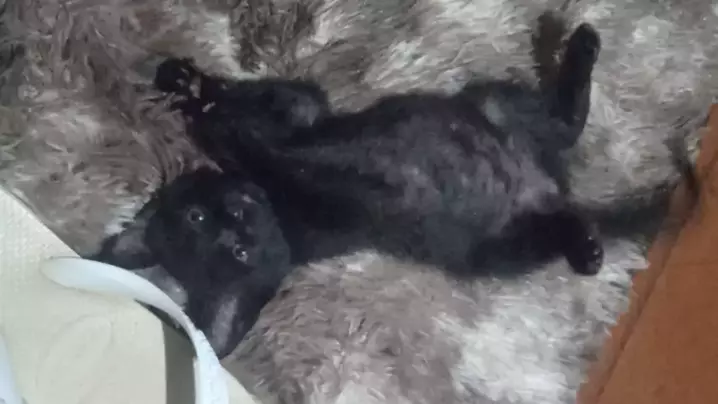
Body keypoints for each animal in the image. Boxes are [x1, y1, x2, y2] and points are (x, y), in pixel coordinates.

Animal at [153, 22, 604, 277]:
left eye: (200, 215)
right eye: (231, 248)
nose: (237, 220)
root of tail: (544, 179)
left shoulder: (301, 109)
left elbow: (251, 109)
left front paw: (191, 86)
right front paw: (206, 110)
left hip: (496, 104)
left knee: (566, 118)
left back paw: (585, 45)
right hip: (505, 246)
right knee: (564, 178)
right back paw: (587, 250)